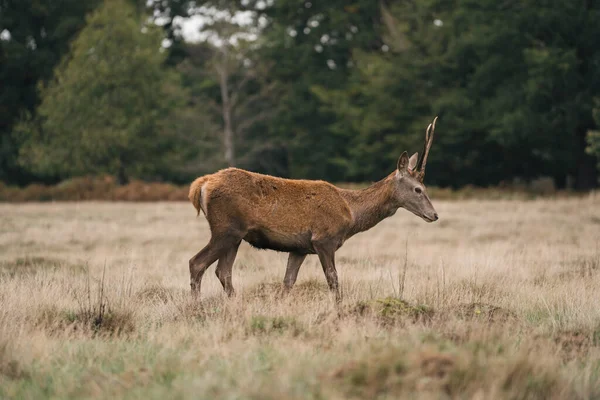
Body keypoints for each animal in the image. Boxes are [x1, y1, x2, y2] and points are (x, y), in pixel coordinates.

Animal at [188, 115, 440, 300]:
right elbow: (333, 280)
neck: (351, 214)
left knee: (223, 271)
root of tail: (202, 185)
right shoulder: (324, 239)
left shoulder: (299, 248)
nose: (434, 215)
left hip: (236, 235)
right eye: (418, 189)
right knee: (197, 263)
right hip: (226, 228)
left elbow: (288, 282)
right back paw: (196, 305)